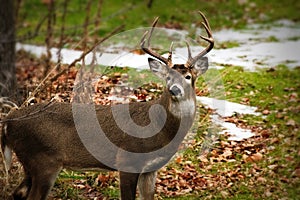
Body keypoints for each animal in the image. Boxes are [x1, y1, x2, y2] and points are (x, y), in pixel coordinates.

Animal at [1, 11, 214, 200]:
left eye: (188, 76)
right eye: (168, 77)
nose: (174, 90)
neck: (161, 130)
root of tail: (9, 121)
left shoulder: (150, 169)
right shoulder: (127, 161)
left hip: (30, 162)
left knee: (18, 193)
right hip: (43, 160)